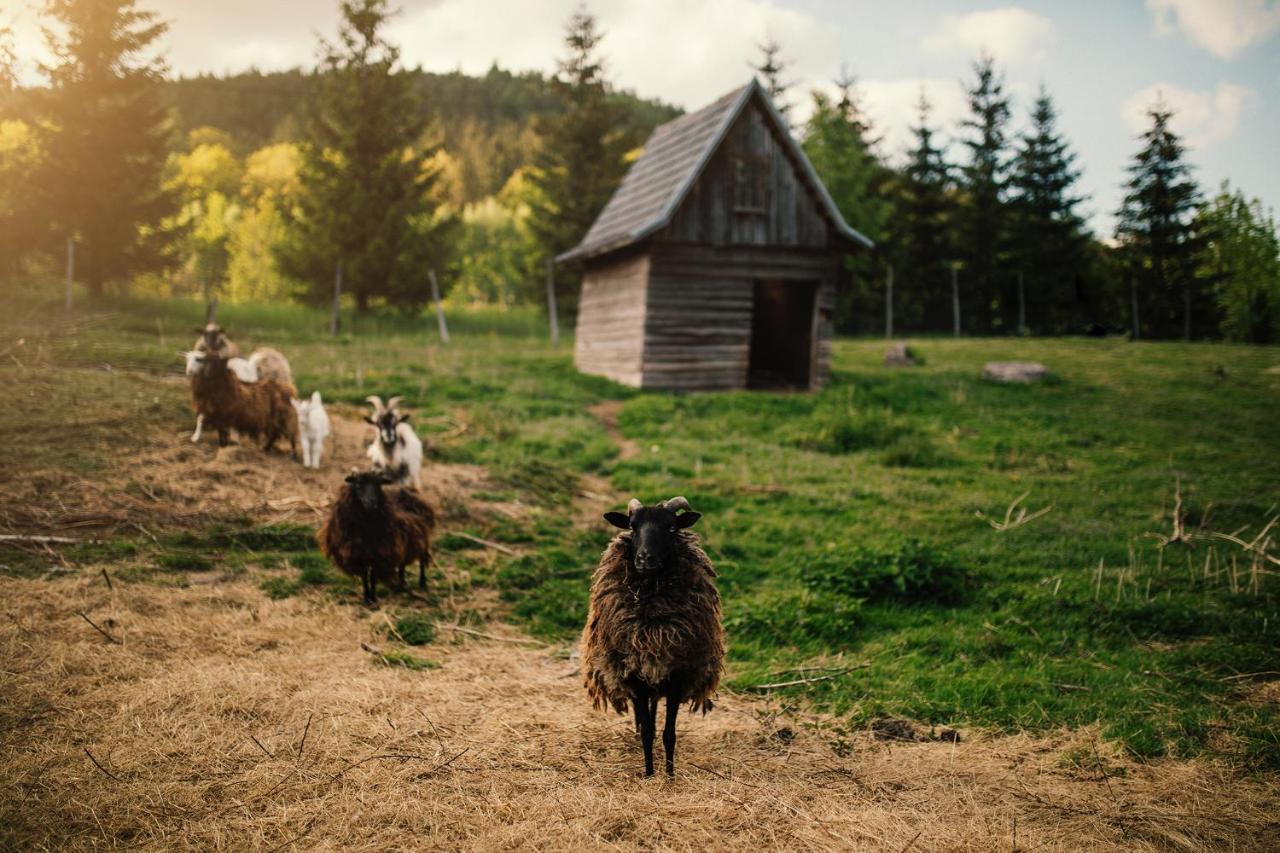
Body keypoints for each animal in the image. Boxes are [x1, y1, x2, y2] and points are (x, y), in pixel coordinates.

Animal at [317, 471, 437, 604]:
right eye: (358, 485)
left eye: (378, 485)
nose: (371, 502)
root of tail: (408, 491)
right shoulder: (358, 555)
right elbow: (364, 576)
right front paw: (366, 598)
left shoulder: (378, 554)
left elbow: (373, 577)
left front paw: (373, 598)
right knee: (403, 562)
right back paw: (402, 583)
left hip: (421, 537)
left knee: (422, 559)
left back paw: (422, 583)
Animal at [583, 491, 727, 778]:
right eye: (632, 526)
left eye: (671, 528)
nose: (644, 559)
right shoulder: (634, 674)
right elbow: (648, 732)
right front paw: (649, 773)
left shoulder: (677, 676)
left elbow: (669, 734)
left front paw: (669, 775)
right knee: (644, 717)